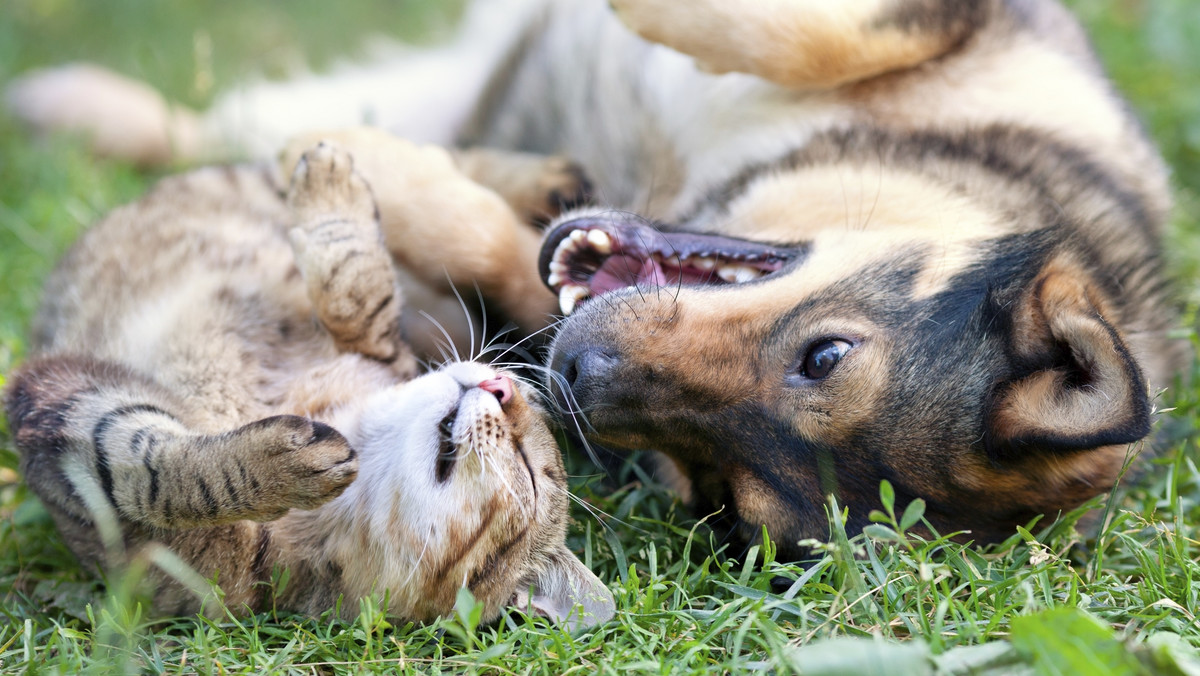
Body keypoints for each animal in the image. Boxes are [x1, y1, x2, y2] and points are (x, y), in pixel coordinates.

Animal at [4, 137, 614, 629]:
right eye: (527, 397)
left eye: (530, 472)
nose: (503, 386)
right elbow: (359, 290)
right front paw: (331, 189)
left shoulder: (59, 409)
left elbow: (153, 475)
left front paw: (274, 467)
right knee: (448, 171)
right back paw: (548, 179)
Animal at [7, 0, 1190, 557]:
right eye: (826, 353)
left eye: (723, 492)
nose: (574, 377)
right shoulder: (968, 23)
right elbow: (812, 29)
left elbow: (487, 243)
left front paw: (384, 174)